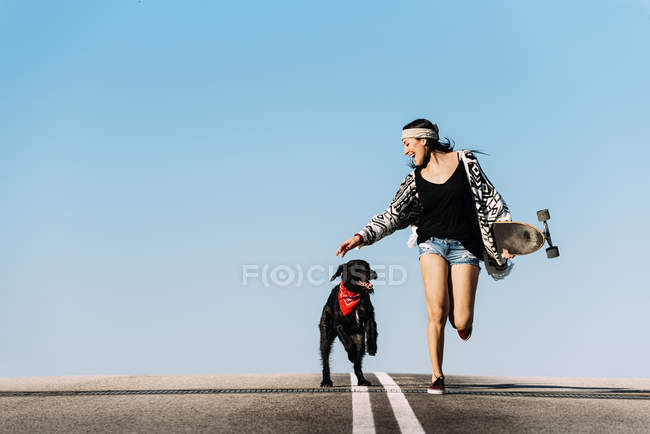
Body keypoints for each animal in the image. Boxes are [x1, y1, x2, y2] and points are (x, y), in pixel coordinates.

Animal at [318, 260, 378, 388]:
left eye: (369, 266)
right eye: (358, 269)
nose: (374, 273)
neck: (353, 294)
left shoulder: (369, 317)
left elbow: (371, 331)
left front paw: (372, 348)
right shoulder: (338, 325)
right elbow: (347, 341)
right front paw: (351, 354)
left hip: (360, 340)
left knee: (358, 364)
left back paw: (362, 380)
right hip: (325, 336)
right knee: (325, 360)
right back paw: (326, 381)